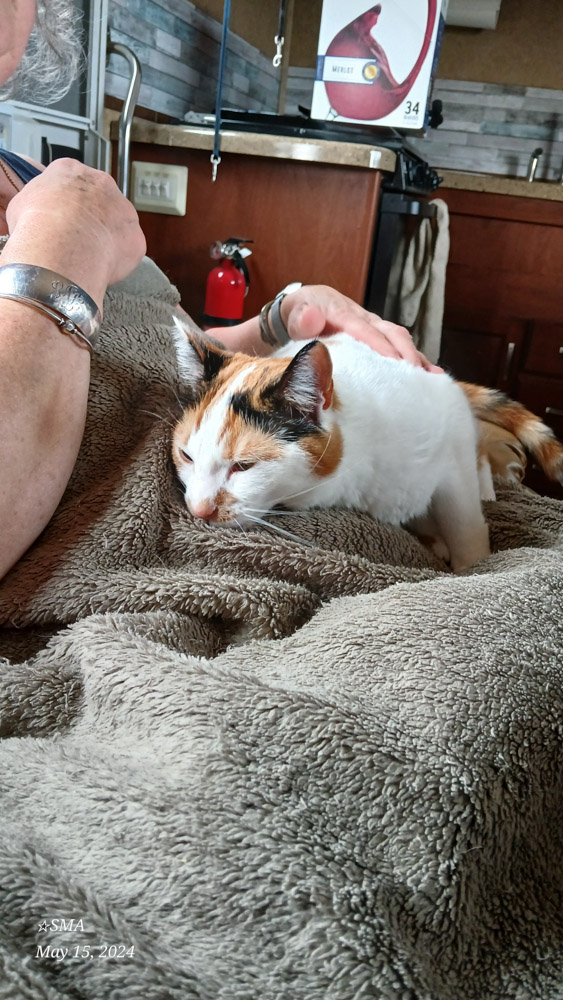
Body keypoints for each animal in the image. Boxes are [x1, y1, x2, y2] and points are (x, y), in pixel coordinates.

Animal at [171, 325, 563, 572]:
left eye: (244, 466)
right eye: (187, 456)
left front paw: (474, 566)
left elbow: (464, 523)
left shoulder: (449, 441)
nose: (199, 509)